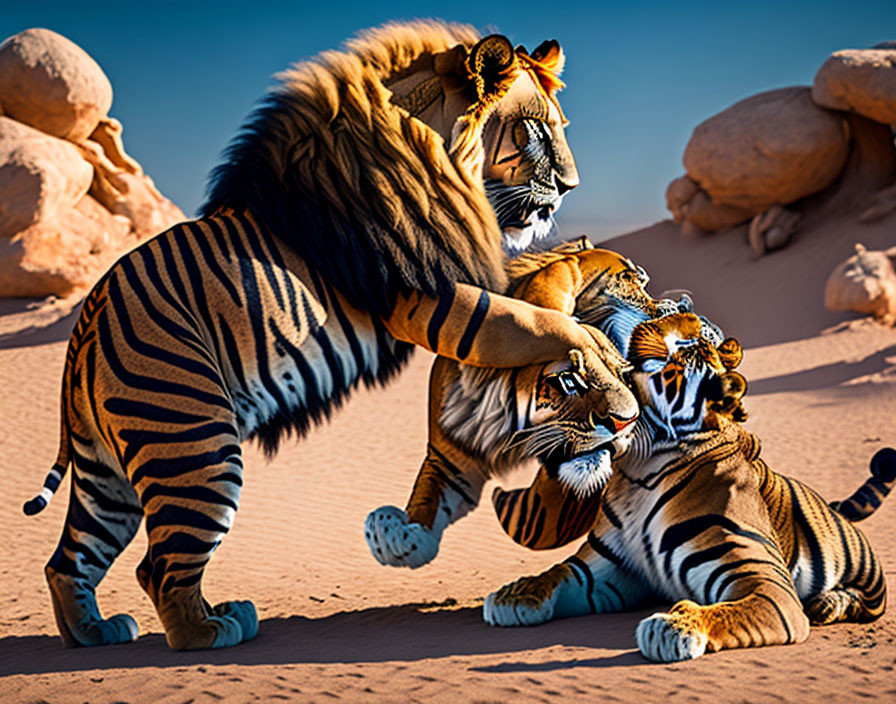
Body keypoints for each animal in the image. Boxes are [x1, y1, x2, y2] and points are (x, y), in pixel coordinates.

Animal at [21, 19, 628, 652]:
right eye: (535, 128)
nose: (571, 185)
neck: (430, 154)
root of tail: (85, 324)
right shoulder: (427, 295)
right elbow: (530, 318)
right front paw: (595, 345)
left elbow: (533, 301)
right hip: (193, 443)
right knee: (158, 568)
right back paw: (210, 630)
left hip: (106, 474)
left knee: (68, 561)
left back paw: (94, 632)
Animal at [360, 239, 688, 564]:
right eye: (570, 380)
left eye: (623, 374)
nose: (678, 307)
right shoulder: (449, 459)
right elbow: (427, 494)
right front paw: (397, 534)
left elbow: (541, 519)